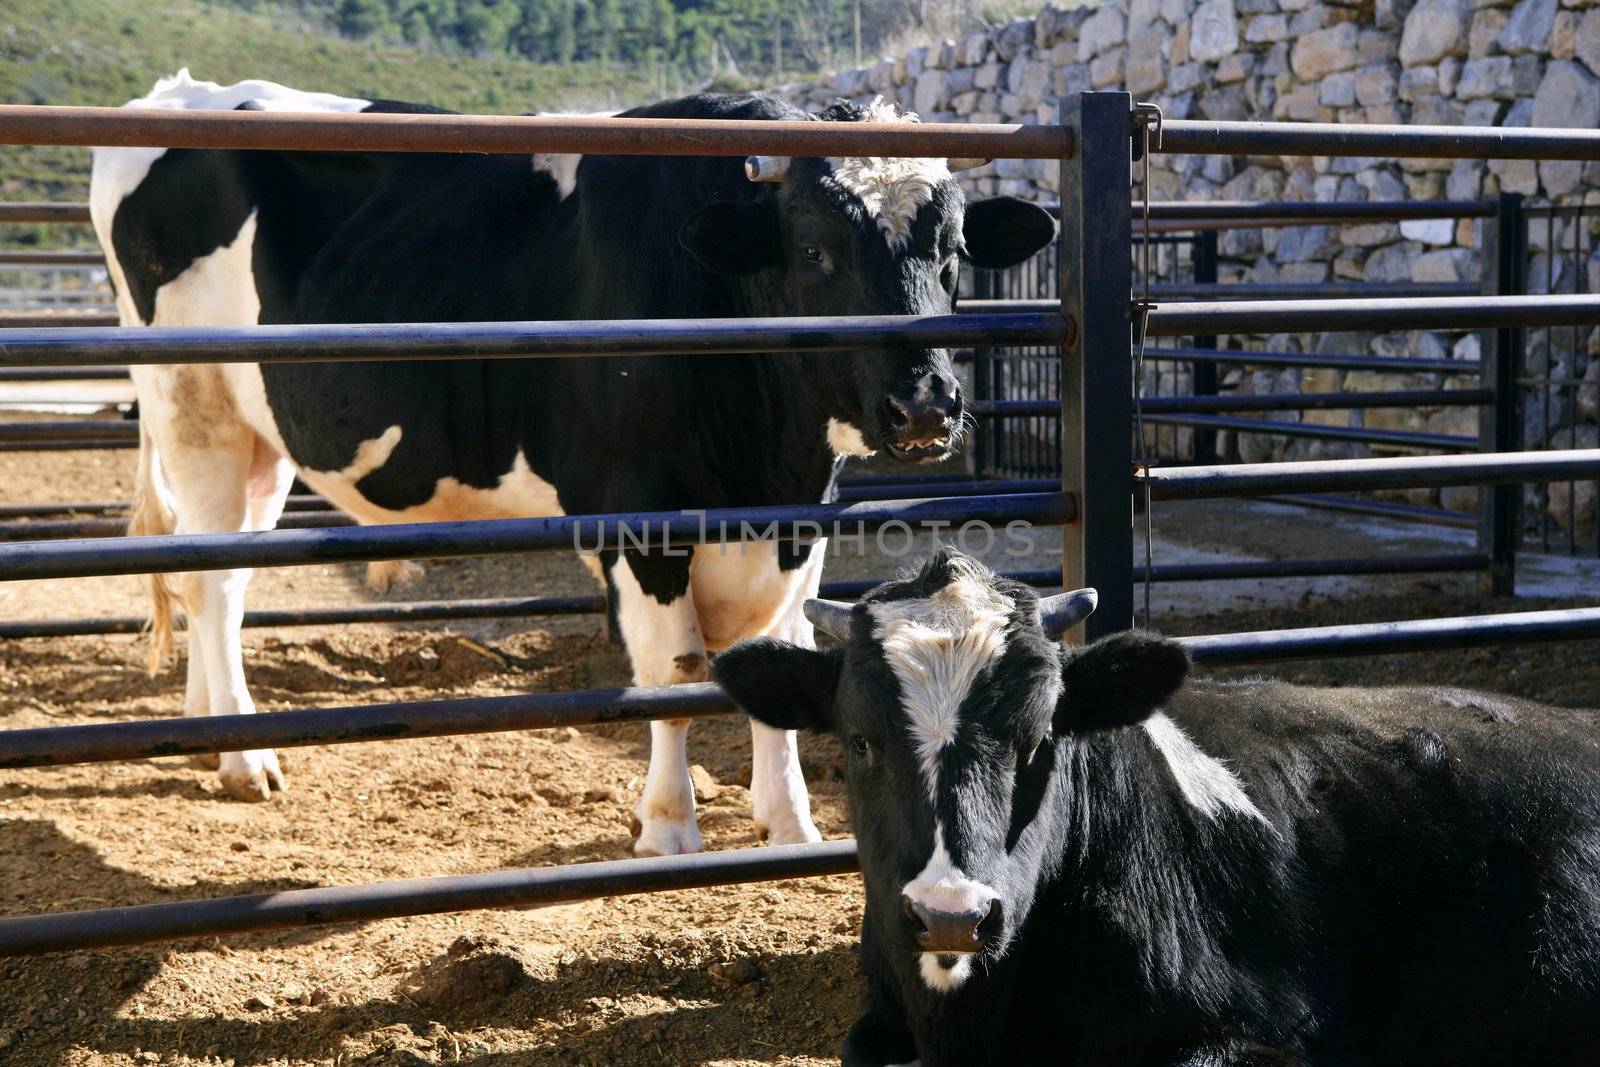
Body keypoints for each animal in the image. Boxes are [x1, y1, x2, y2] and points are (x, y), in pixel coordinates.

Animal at [93, 70, 1056, 857]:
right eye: (815, 249)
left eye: (955, 254)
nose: (925, 405)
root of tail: (177, 93)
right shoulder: (638, 507)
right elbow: (675, 668)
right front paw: (668, 826)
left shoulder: (800, 514)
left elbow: (781, 650)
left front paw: (790, 821)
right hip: (193, 404)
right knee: (212, 582)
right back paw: (245, 757)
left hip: (260, 437)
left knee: (214, 573)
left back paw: (206, 726)